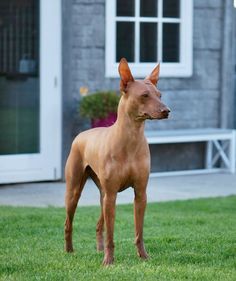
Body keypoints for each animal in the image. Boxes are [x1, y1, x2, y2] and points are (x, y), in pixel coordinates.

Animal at [65, 57, 170, 264]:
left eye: (159, 94)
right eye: (145, 95)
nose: (167, 111)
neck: (130, 139)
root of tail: (81, 134)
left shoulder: (140, 194)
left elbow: (139, 232)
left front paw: (143, 256)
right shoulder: (112, 195)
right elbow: (111, 235)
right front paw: (108, 261)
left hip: (103, 196)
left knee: (99, 225)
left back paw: (98, 249)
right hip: (76, 192)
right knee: (68, 223)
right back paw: (69, 251)